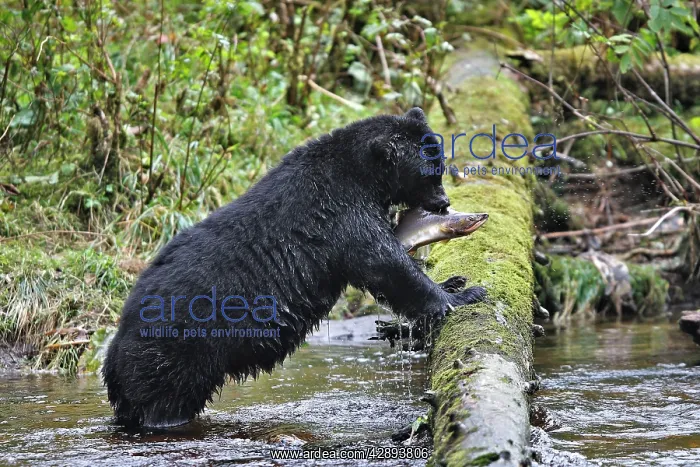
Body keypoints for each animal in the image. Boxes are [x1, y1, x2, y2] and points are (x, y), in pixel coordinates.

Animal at [102, 107, 486, 428]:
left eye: (440, 163)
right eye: (429, 173)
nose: (443, 202)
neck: (364, 175)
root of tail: (116, 346)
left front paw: (453, 281)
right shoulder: (340, 212)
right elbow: (384, 263)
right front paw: (465, 294)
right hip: (176, 351)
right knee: (167, 401)